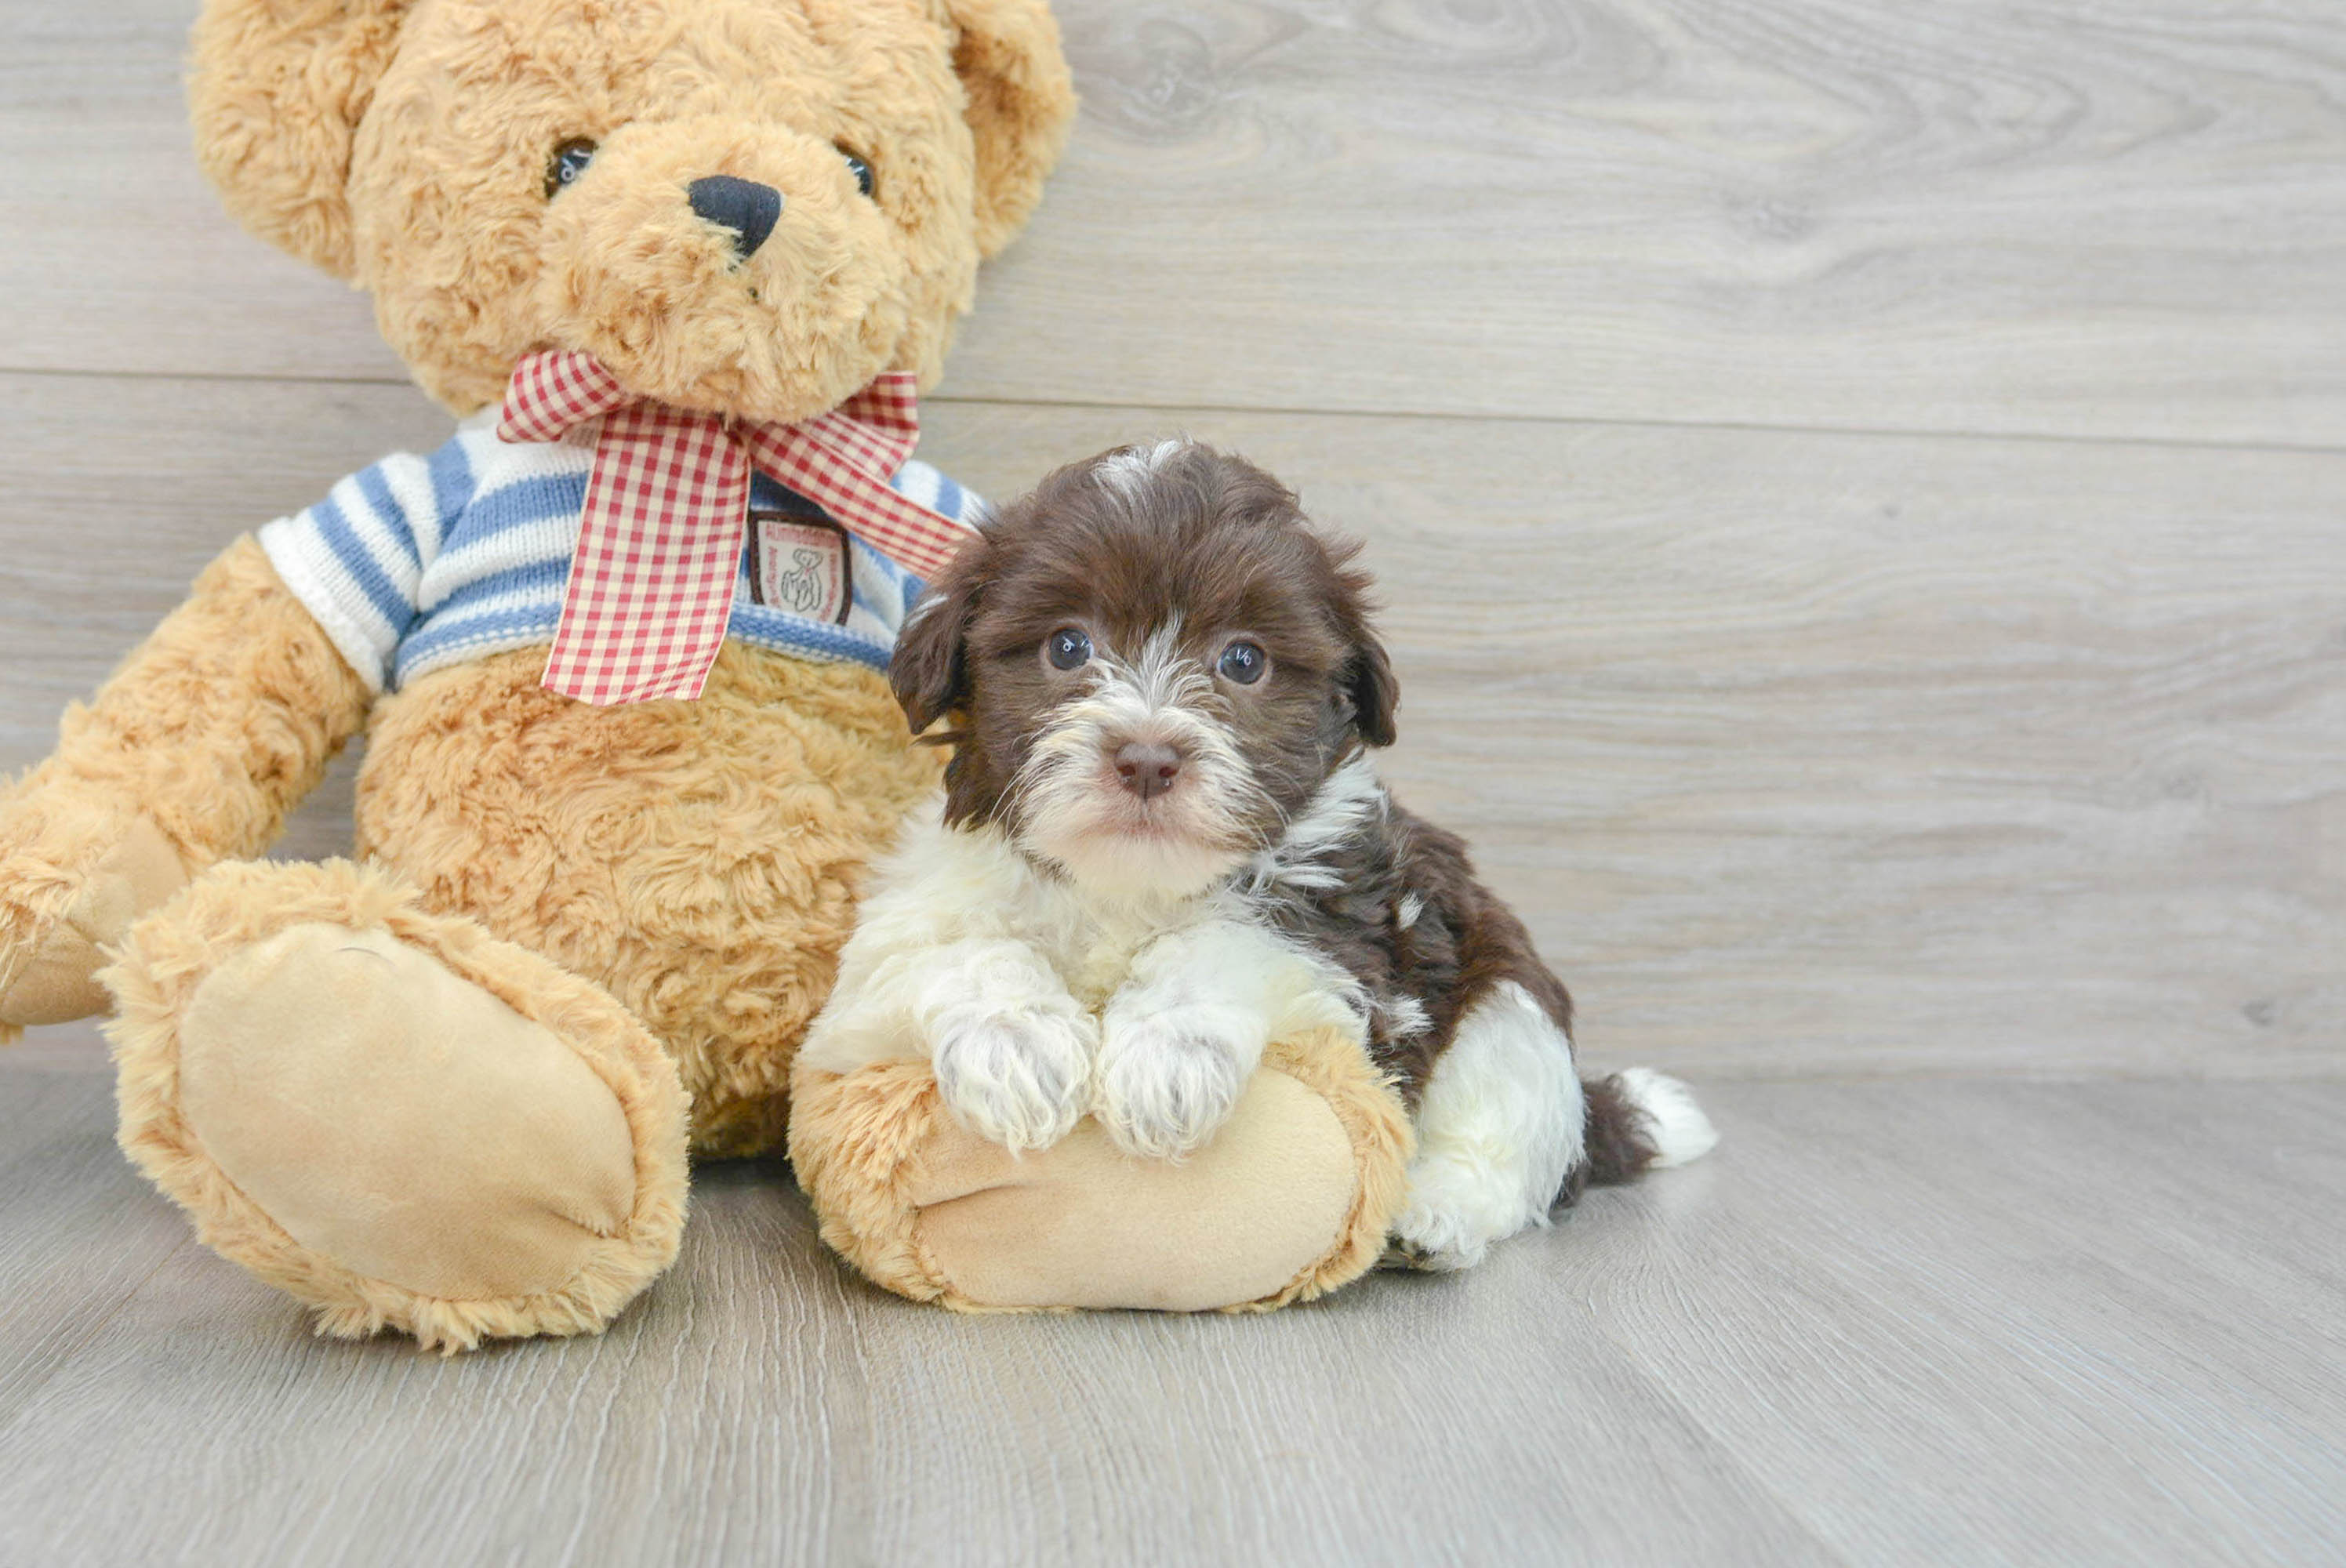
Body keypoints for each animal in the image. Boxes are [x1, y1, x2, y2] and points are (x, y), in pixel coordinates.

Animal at [797, 434, 1717, 1267]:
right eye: (1067, 646)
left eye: (1243, 660)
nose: (1146, 758)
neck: (1127, 881)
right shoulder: (913, 909)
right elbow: (955, 947)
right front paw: (1016, 1047)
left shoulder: (1350, 933)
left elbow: (1228, 942)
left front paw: (1165, 1058)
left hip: (1508, 1005)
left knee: (1508, 1134)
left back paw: (1432, 1215)